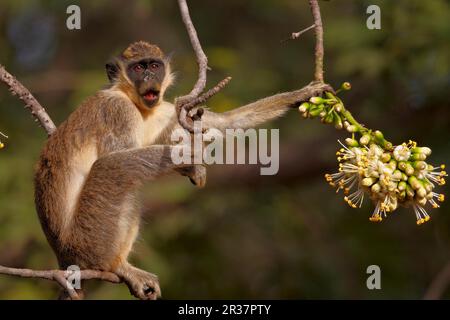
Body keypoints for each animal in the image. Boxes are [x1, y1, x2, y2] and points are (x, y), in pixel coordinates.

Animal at [34, 41, 330, 298]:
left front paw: (300, 95)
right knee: (114, 169)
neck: (134, 101)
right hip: (87, 239)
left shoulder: (163, 110)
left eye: (154, 66)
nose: (149, 78)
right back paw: (114, 266)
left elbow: (224, 122)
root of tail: (63, 257)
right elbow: (116, 156)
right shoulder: (117, 111)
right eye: (138, 68)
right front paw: (193, 156)